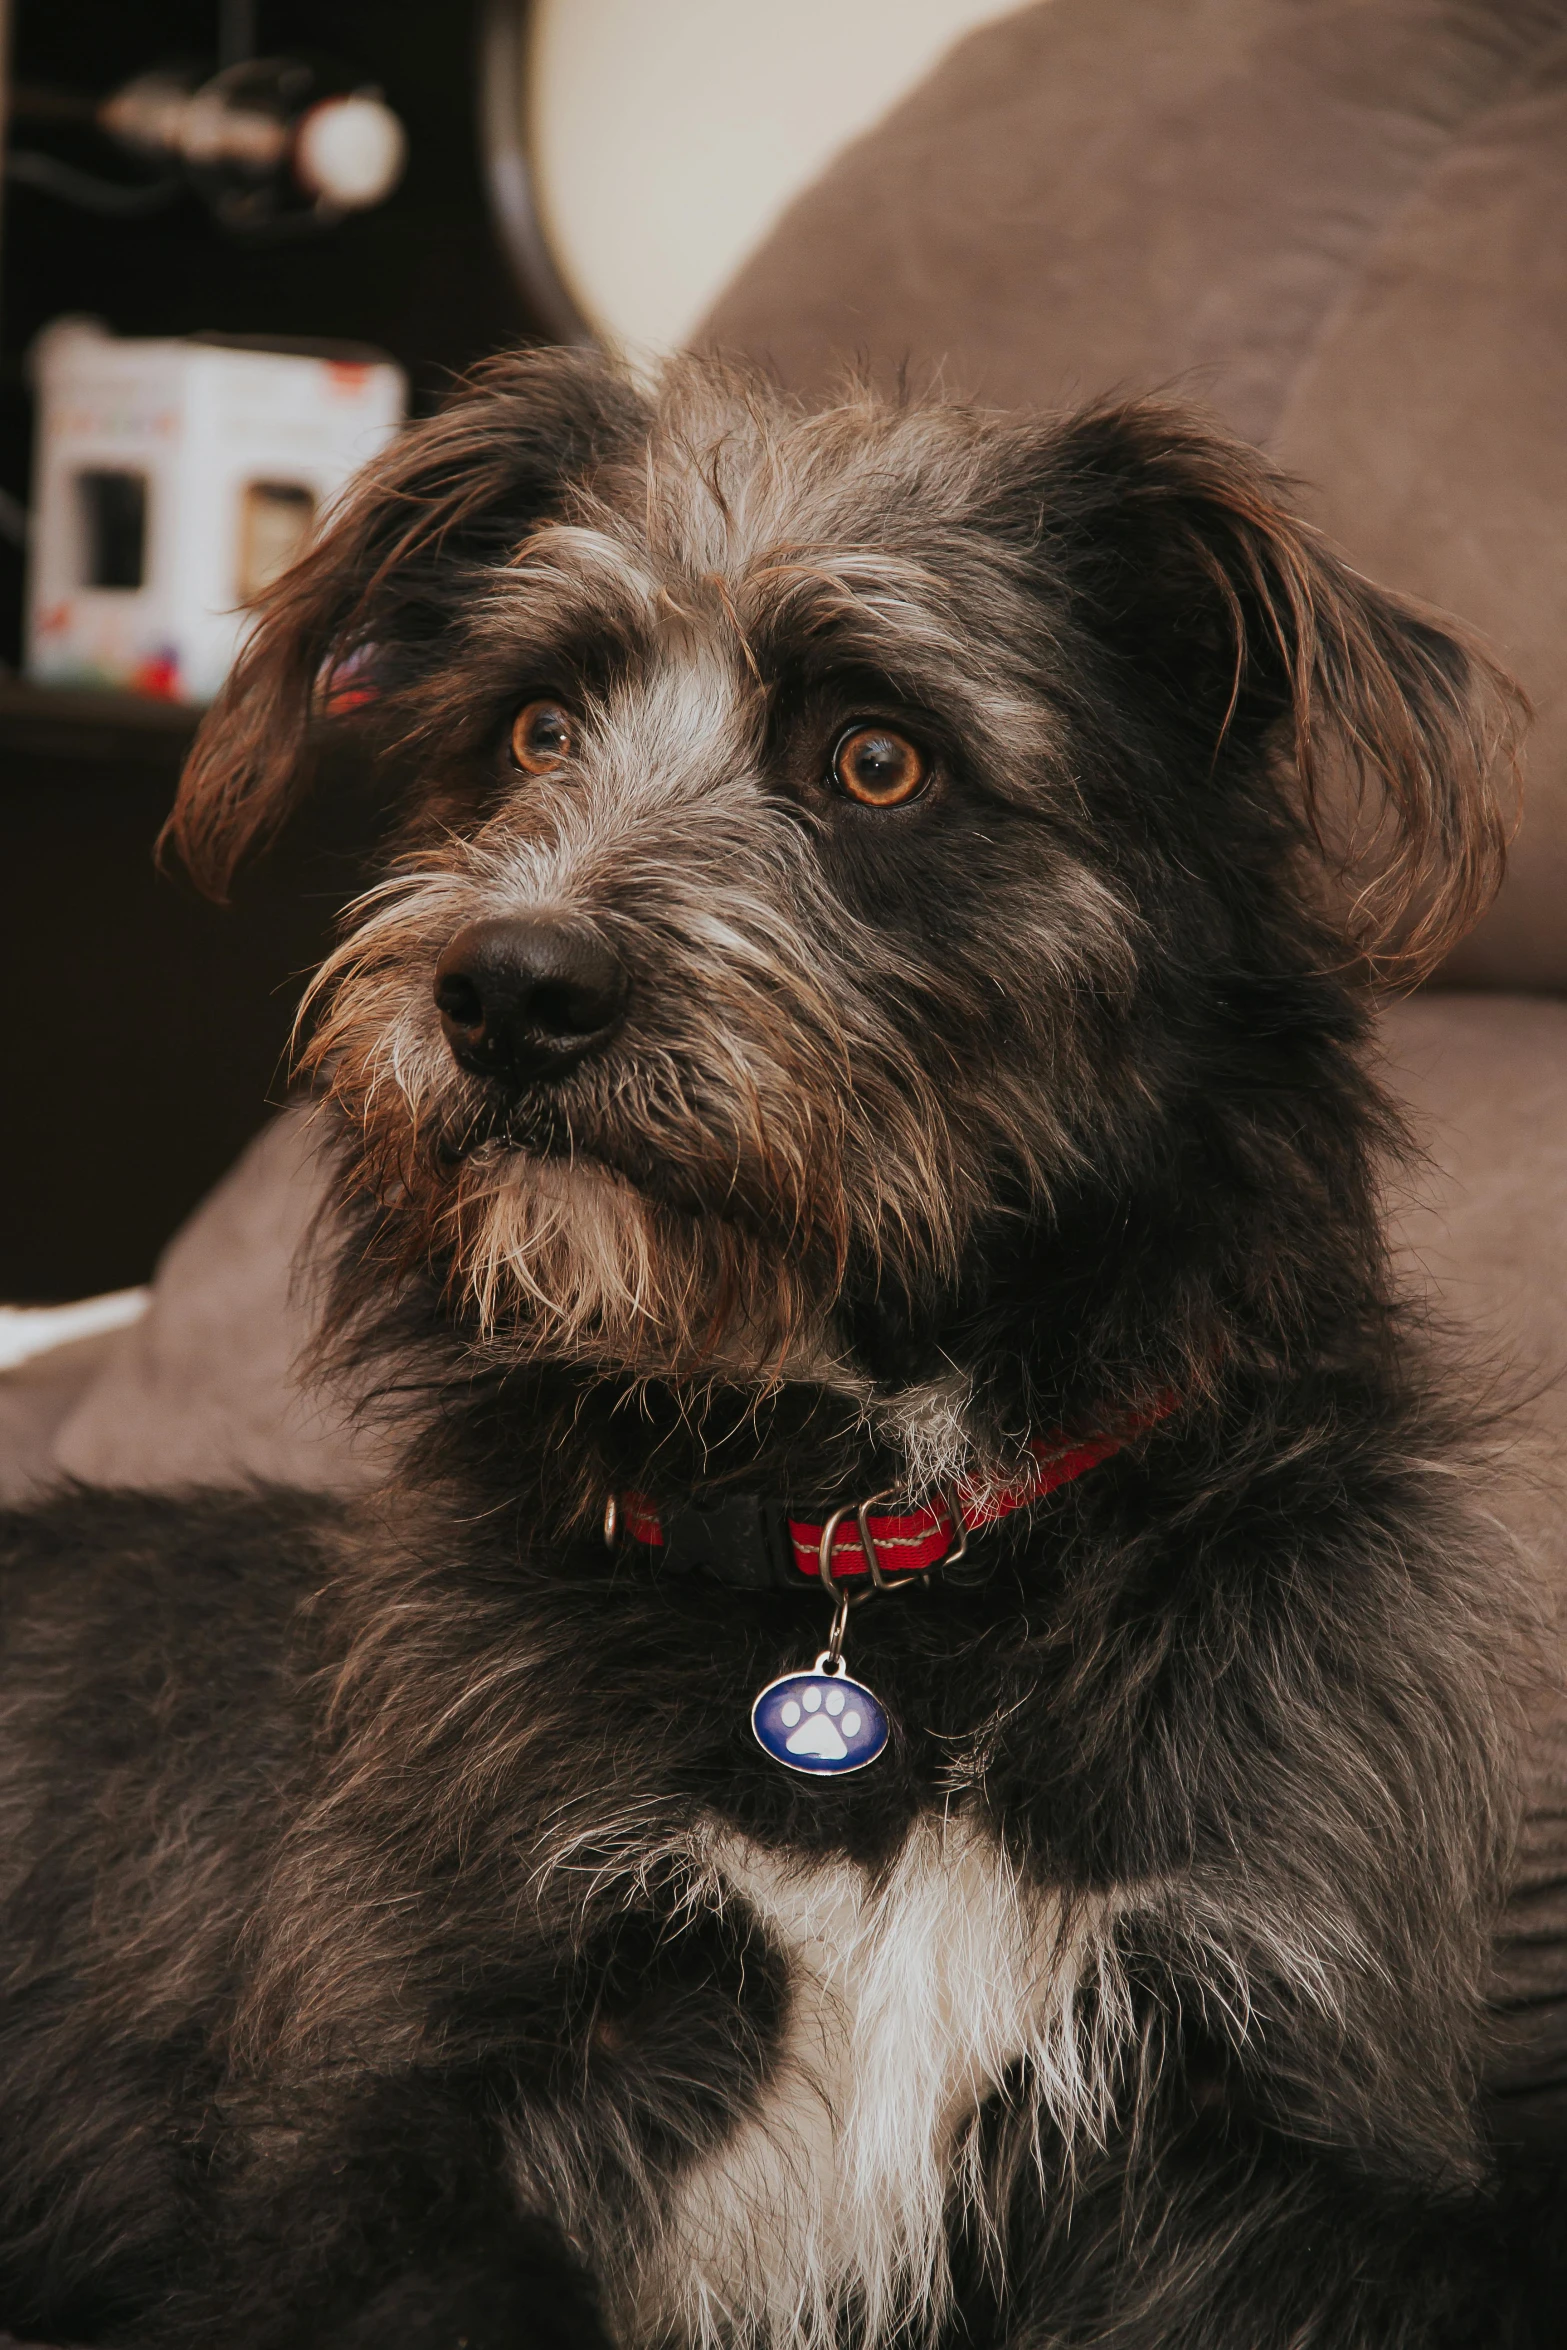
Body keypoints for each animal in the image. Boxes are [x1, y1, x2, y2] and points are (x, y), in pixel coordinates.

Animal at [3, 352, 1567, 2350]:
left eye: (876, 757)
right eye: (533, 732)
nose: (505, 991)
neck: (870, 1550)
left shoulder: (1249, 2168)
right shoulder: (390, 2144)